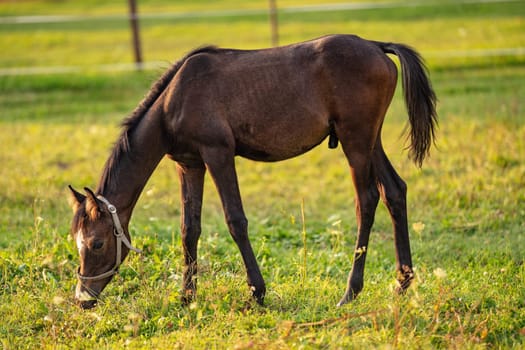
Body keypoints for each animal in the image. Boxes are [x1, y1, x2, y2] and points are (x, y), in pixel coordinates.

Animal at [70, 34, 438, 308]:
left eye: (97, 243)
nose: (82, 298)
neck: (175, 101)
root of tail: (376, 46)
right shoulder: (189, 164)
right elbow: (189, 228)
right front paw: (187, 296)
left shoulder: (218, 155)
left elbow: (236, 221)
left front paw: (257, 292)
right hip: (371, 140)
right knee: (395, 191)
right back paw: (402, 282)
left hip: (356, 140)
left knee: (367, 200)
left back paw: (350, 291)